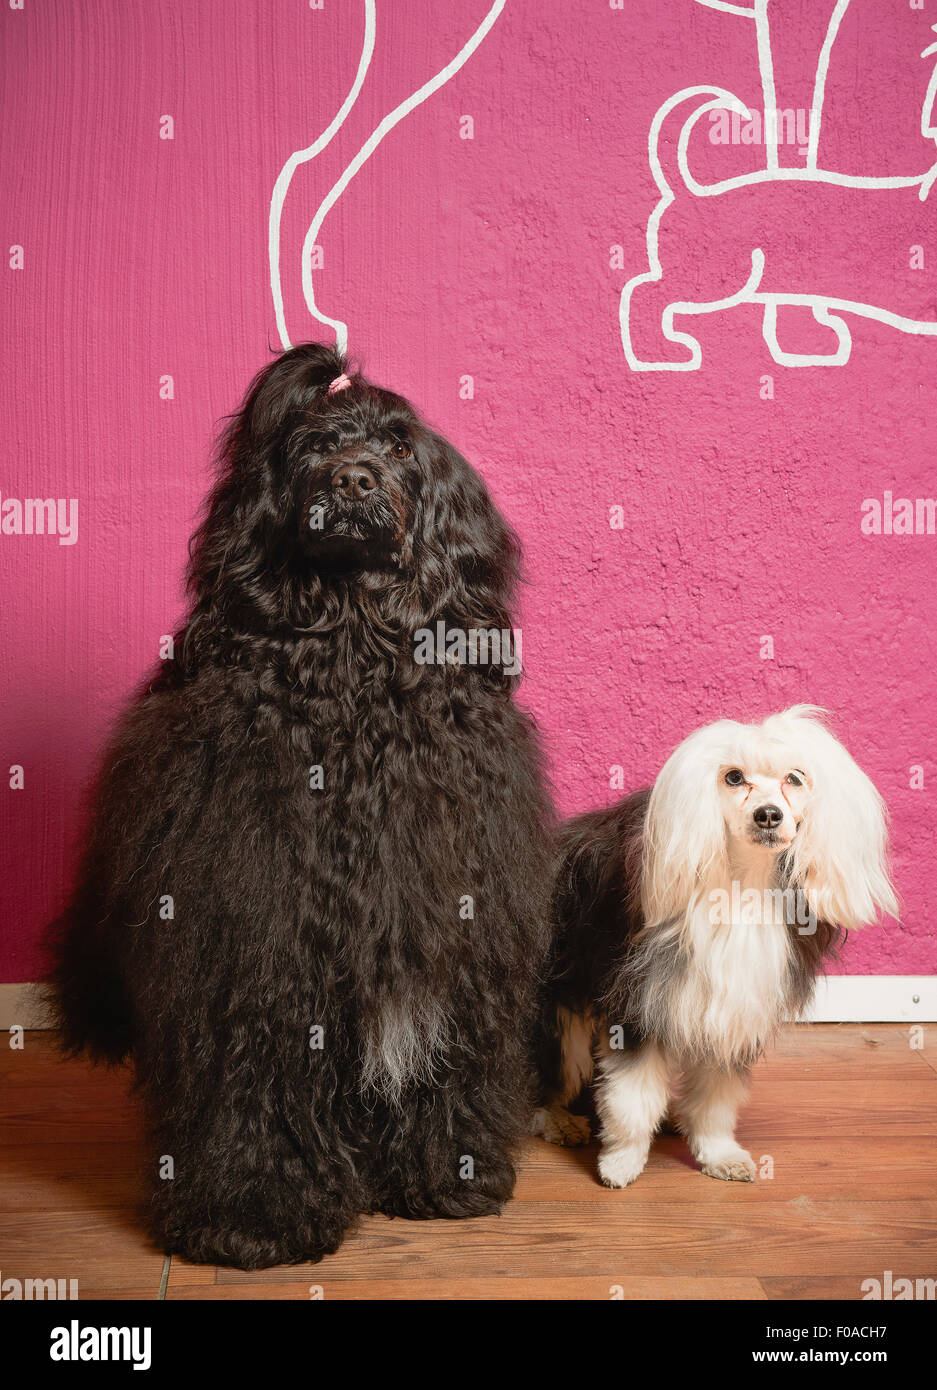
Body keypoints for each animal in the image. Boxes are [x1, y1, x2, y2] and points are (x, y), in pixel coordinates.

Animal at [47, 344, 550, 1273]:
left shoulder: (449, 916)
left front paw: (448, 1174)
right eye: (314, 443)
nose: (351, 480)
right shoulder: (259, 936)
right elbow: (256, 1071)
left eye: (398, 447)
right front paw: (254, 1213)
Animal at [528, 711, 895, 1189]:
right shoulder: (640, 1002)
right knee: (543, 1079)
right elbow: (631, 1097)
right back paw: (559, 1121)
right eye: (733, 777)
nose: (768, 814)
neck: (741, 884)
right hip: (559, 1015)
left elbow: (715, 1100)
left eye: (795, 778)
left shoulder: (733, 1007)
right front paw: (621, 1163)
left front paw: (718, 1154)